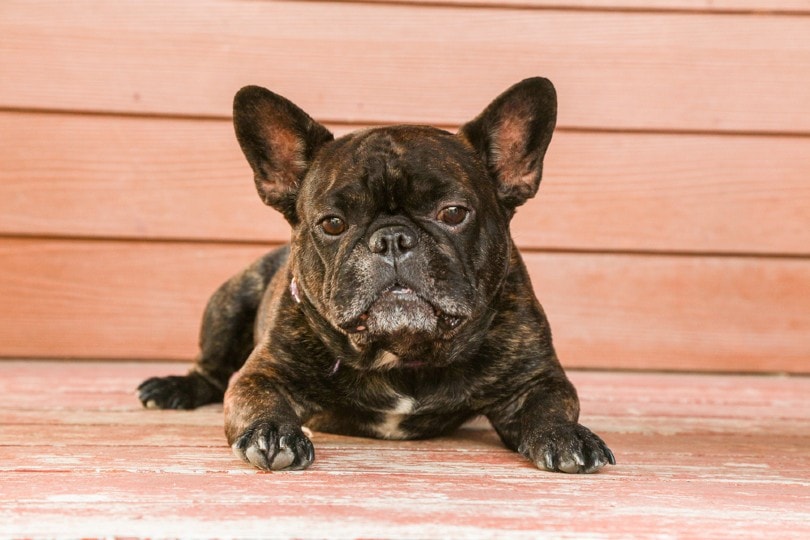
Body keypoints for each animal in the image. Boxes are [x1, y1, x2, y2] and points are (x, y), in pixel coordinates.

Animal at [139, 78, 616, 474]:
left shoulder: (535, 379)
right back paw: (173, 388)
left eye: (453, 213)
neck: (402, 353)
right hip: (229, 301)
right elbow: (257, 396)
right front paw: (272, 430)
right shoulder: (263, 373)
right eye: (332, 223)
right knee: (211, 369)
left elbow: (549, 406)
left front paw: (565, 434)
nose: (391, 239)